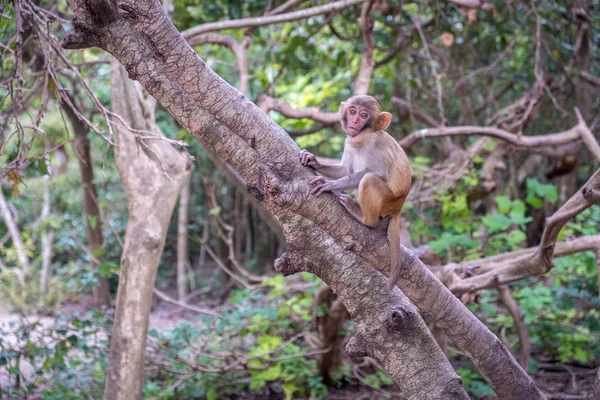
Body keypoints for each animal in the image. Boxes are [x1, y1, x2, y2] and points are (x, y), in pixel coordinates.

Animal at [298, 95, 410, 292]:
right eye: (352, 111)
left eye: (363, 114)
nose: (355, 121)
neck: (362, 139)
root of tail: (398, 208)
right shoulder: (348, 143)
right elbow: (345, 170)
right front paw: (313, 161)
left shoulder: (375, 144)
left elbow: (377, 174)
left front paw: (329, 184)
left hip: (388, 201)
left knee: (369, 179)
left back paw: (364, 217)